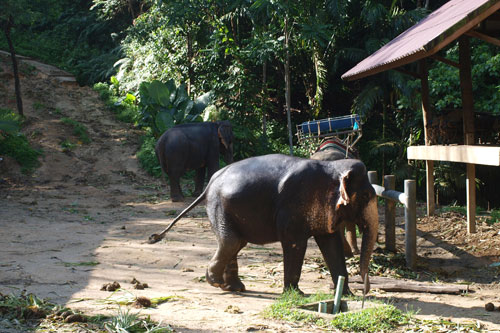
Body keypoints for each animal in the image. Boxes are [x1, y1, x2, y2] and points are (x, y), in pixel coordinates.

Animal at [150, 153, 376, 294]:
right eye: (365, 196)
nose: (365, 292)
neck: (332, 169)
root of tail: (211, 182)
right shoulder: (294, 205)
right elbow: (295, 243)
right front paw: (296, 294)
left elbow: (331, 244)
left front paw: (346, 295)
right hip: (219, 206)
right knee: (232, 242)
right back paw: (216, 282)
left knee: (234, 243)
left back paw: (232, 287)